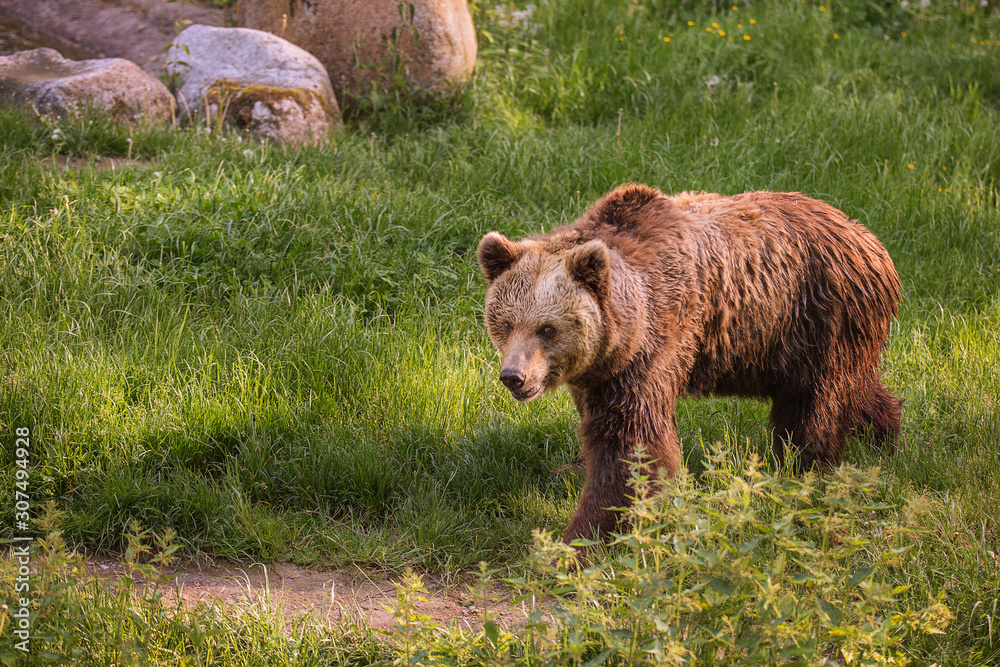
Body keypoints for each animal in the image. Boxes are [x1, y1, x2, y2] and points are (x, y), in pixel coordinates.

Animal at [480, 185, 904, 544]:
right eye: (505, 322)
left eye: (547, 328)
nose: (514, 377)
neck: (625, 330)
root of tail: (868, 238)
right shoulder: (599, 372)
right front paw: (570, 469)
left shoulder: (655, 346)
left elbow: (632, 446)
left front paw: (583, 537)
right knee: (855, 388)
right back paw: (883, 436)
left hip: (818, 318)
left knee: (815, 405)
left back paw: (805, 469)